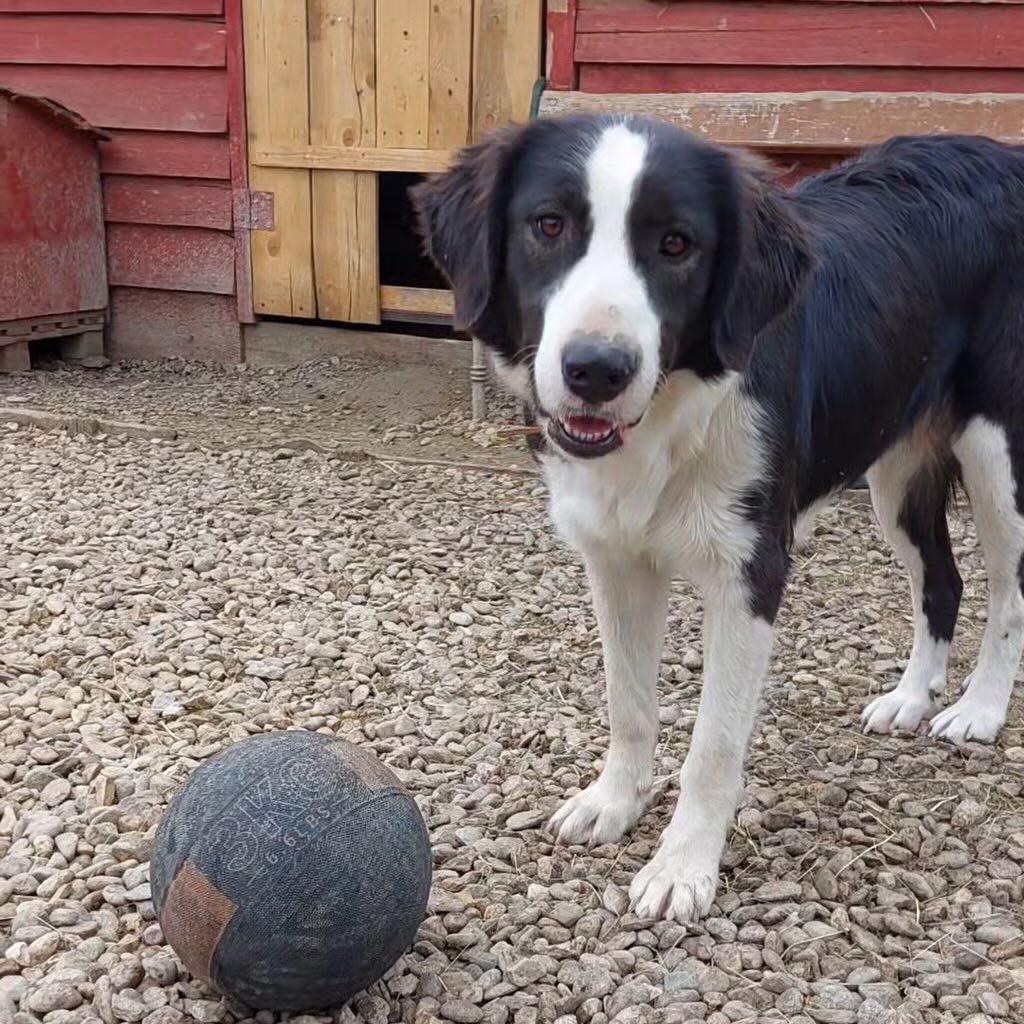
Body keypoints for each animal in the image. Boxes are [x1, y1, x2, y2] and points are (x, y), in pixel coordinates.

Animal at [411, 115, 1024, 922]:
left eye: (677, 244)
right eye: (548, 225)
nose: (596, 370)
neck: (670, 418)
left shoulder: (748, 575)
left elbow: (714, 744)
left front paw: (682, 866)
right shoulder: (616, 562)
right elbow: (628, 701)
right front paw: (615, 801)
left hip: (996, 452)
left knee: (1009, 592)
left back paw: (980, 709)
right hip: (891, 464)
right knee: (942, 580)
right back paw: (910, 698)